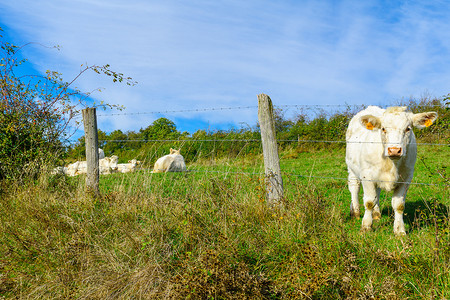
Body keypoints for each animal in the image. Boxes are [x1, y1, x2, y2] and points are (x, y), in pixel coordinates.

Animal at [346, 106, 438, 236]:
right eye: (383, 129)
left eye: (408, 128)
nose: (394, 150)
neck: (392, 164)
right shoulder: (367, 176)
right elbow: (369, 202)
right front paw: (366, 226)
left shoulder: (406, 178)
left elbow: (399, 205)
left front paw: (399, 230)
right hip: (352, 169)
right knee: (354, 188)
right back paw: (355, 212)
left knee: (377, 192)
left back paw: (376, 213)